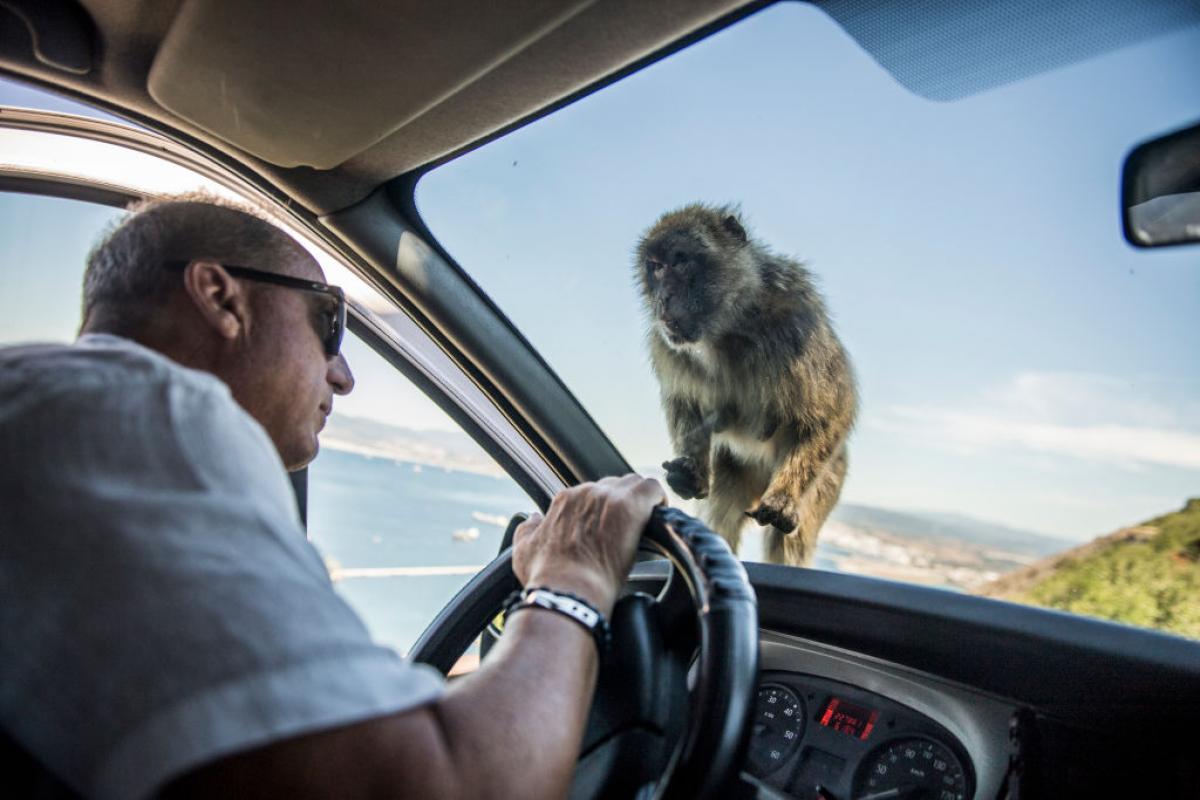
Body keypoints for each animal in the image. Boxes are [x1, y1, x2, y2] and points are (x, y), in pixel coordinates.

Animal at [634, 203, 857, 566]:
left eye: (680, 261)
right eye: (655, 267)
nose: (663, 299)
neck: (728, 327)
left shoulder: (798, 323)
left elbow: (830, 412)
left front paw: (784, 497)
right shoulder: (665, 343)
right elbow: (682, 400)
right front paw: (691, 471)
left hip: (830, 478)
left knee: (788, 540)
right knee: (723, 512)